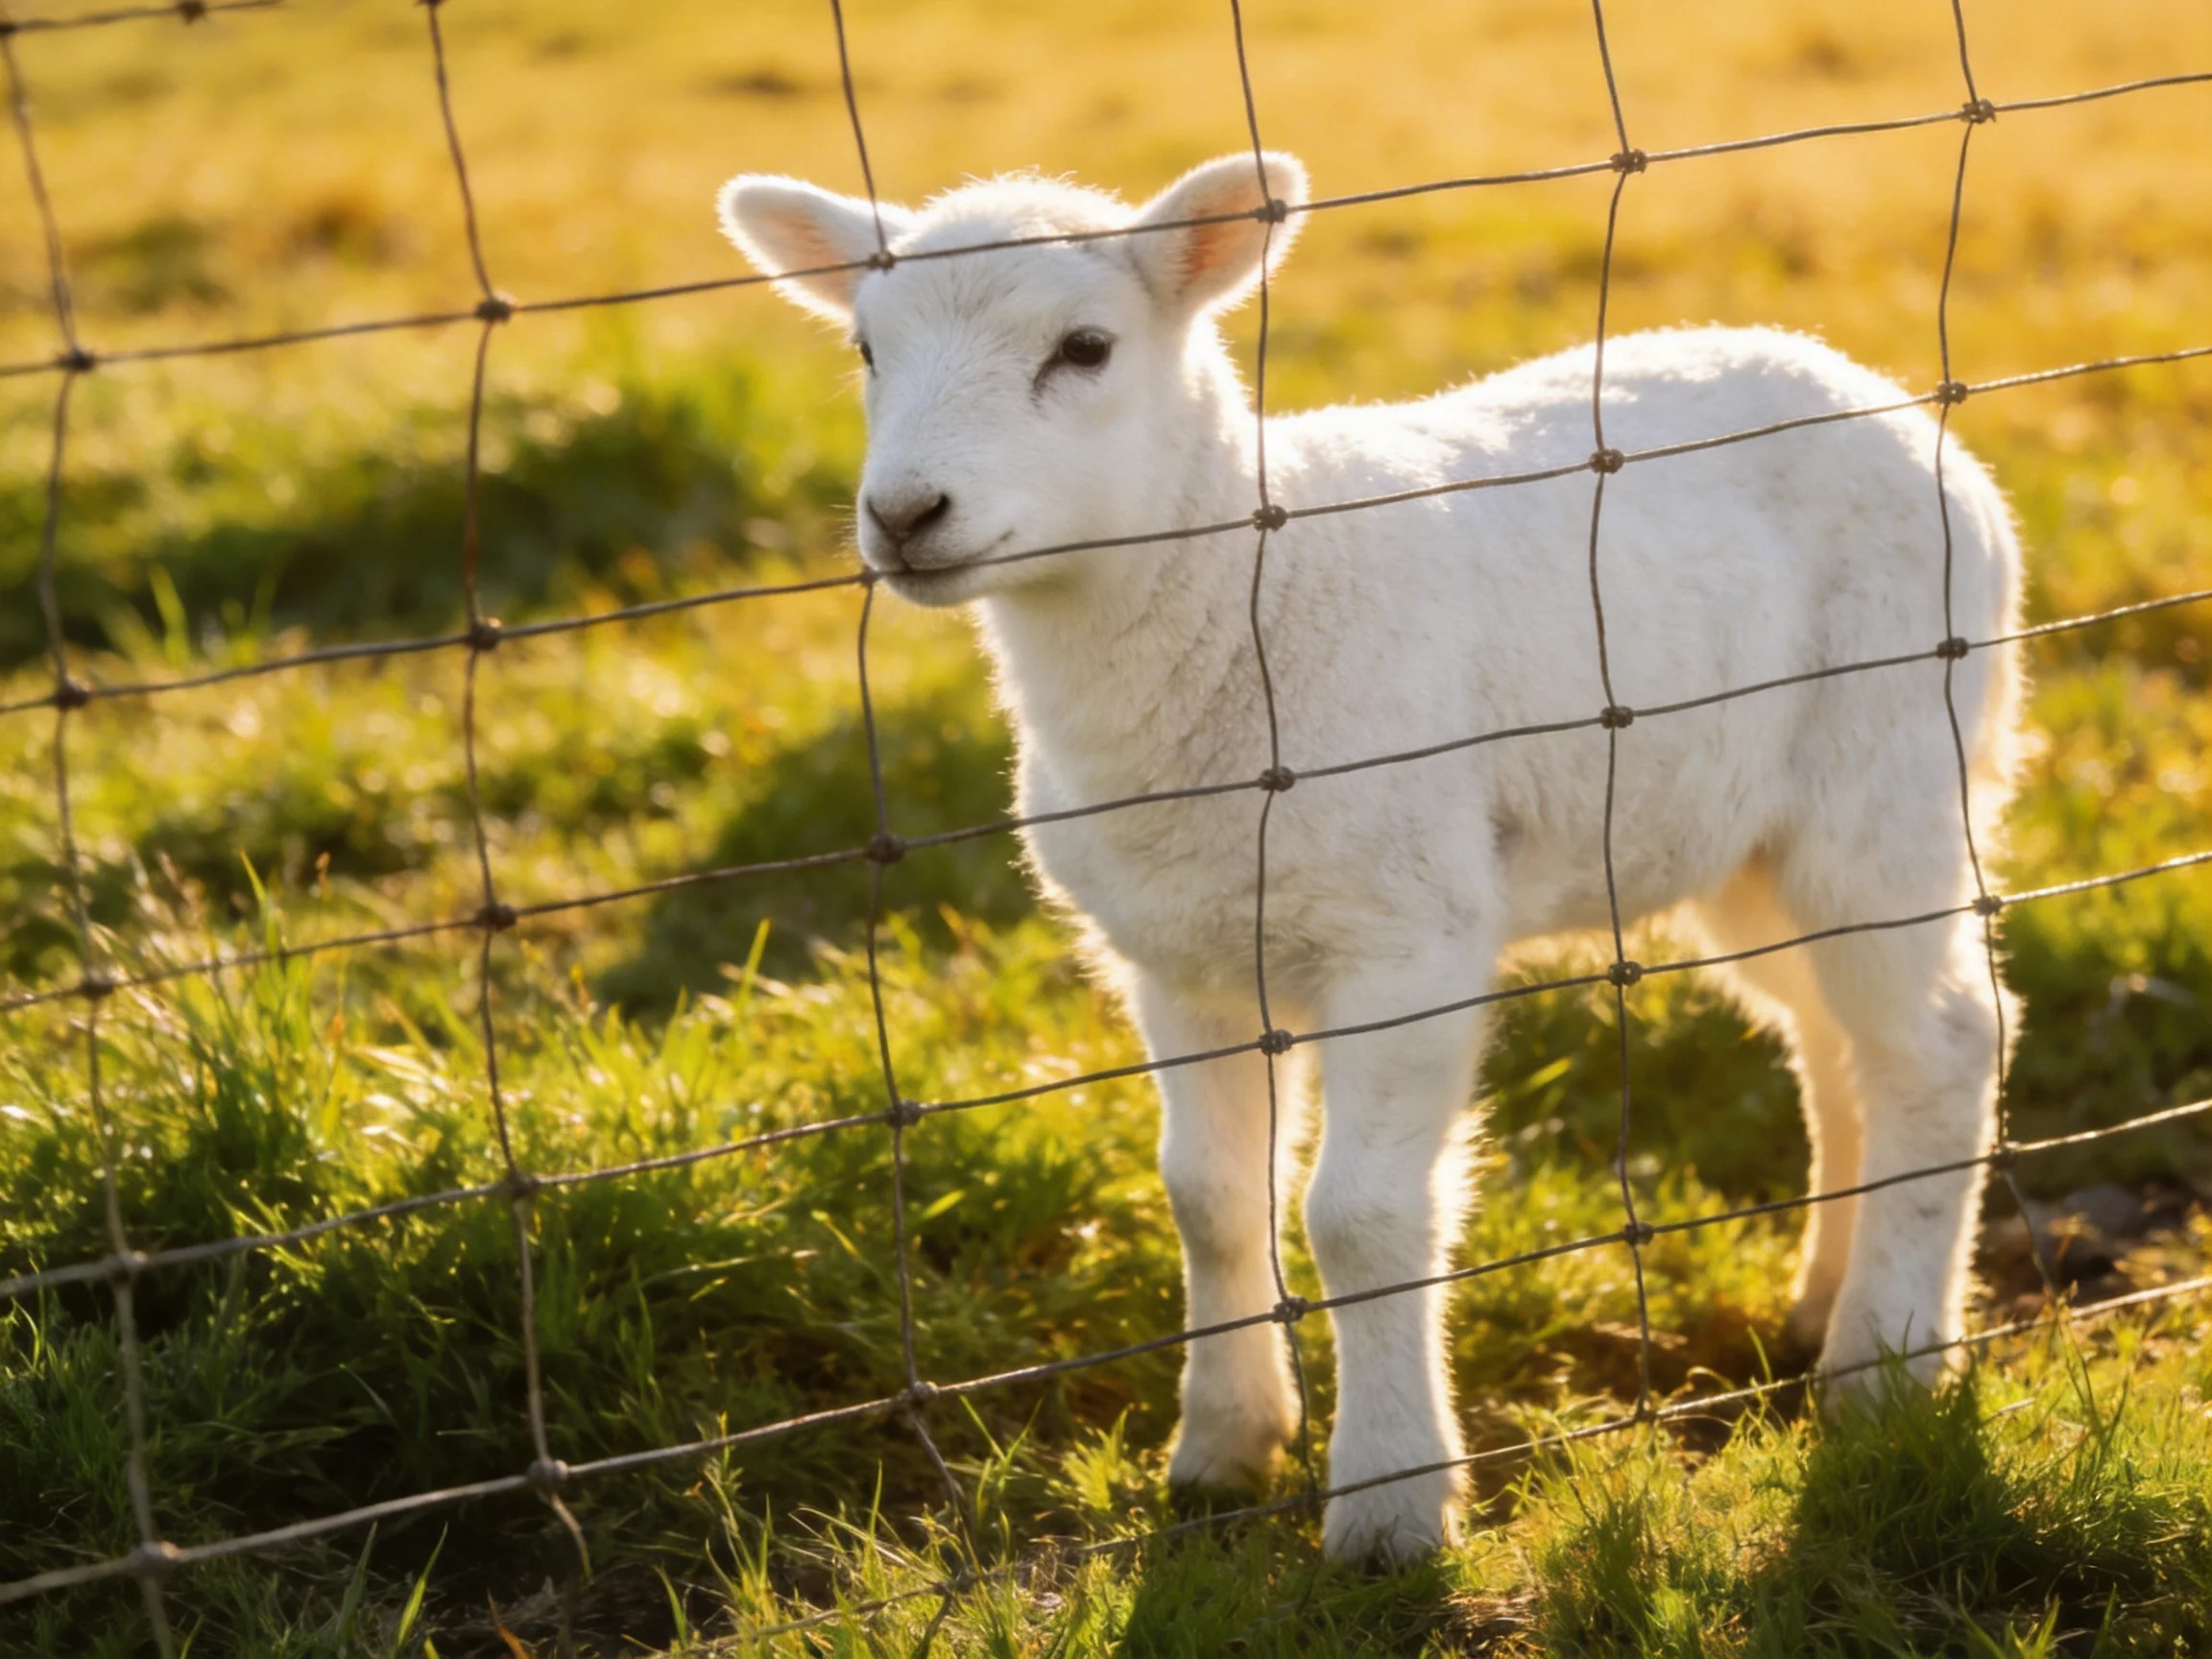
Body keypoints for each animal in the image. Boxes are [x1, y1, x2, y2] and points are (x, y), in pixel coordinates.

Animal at [717, 150, 2023, 1565]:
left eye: (1086, 348)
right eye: (865, 348)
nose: (904, 515)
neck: (1236, 603)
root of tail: (1885, 400)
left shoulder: (1406, 940)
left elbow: (1358, 1217)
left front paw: (1392, 1503)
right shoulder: (1181, 955)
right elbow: (1208, 1196)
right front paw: (1224, 1449)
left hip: (1888, 775)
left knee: (1942, 1047)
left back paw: (1885, 1364)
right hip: (1745, 842)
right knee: (1838, 1045)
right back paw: (1823, 1301)